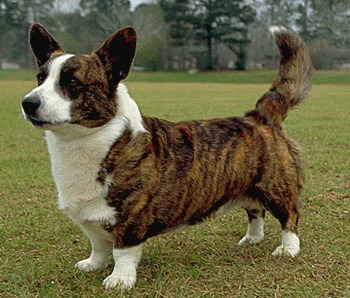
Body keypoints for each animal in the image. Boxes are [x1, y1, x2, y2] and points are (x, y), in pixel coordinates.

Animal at [21, 24, 312, 290]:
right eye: (40, 78)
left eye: (72, 82)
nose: (28, 103)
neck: (84, 142)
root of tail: (260, 116)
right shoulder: (92, 218)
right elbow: (98, 246)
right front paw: (92, 265)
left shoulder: (130, 219)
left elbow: (121, 252)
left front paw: (119, 280)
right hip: (248, 187)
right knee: (255, 211)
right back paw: (251, 240)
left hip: (276, 187)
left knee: (289, 218)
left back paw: (288, 250)